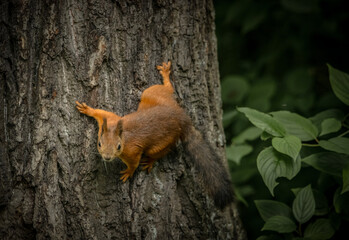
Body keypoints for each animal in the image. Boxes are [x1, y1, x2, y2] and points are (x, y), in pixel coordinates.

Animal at [76, 62, 234, 208]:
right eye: (99, 143)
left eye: (119, 146)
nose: (107, 158)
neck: (122, 134)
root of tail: (182, 118)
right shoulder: (110, 120)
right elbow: (101, 113)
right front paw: (87, 109)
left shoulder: (132, 151)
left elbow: (134, 163)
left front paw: (128, 172)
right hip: (154, 95)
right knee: (167, 89)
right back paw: (165, 75)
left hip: (163, 140)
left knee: (163, 150)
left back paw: (150, 161)